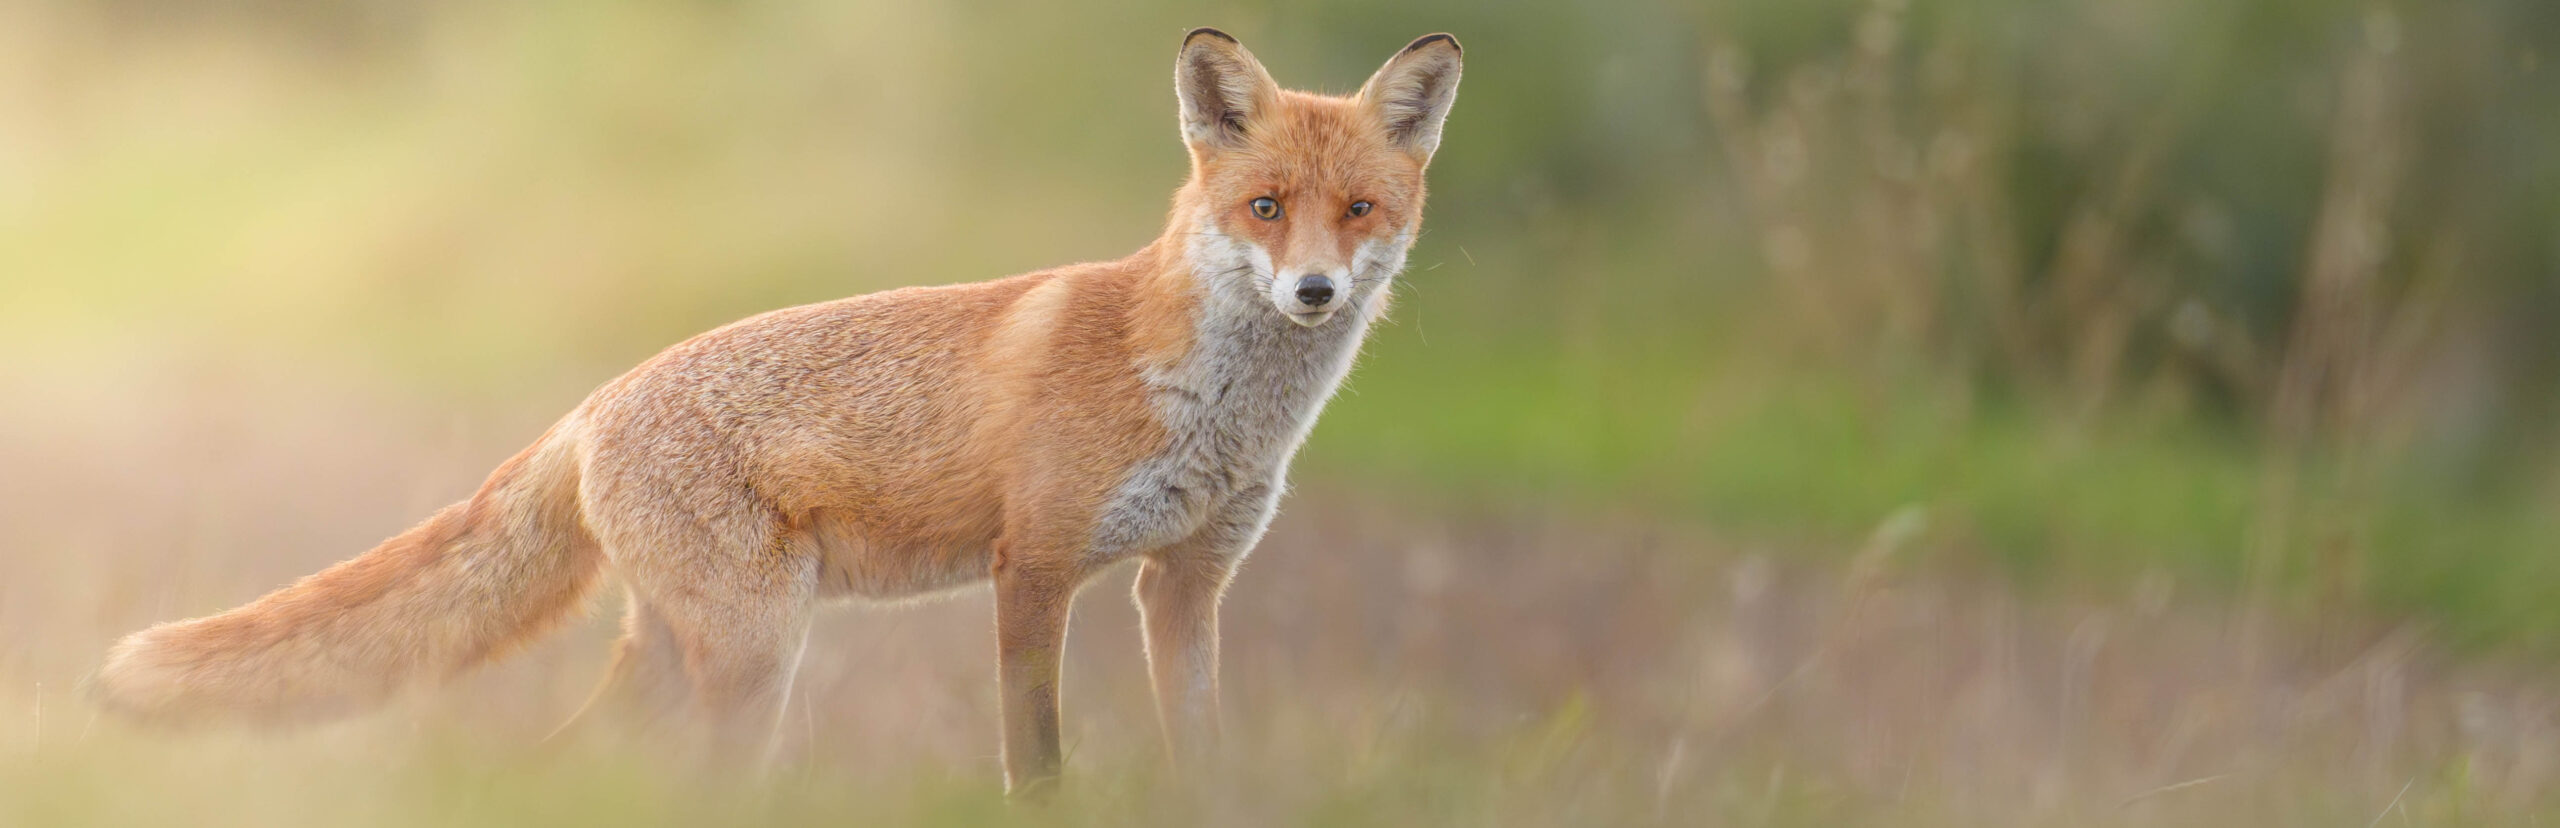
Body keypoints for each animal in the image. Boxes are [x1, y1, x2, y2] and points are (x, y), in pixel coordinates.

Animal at [90, 28, 1460, 793]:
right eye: (1265, 208)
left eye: (1359, 211)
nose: (1315, 292)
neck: (1215, 409)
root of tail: (596, 401)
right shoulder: (1035, 568)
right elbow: (1038, 768)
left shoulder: (1185, 584)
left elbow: (1203, 764)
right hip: (755, 654)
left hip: (692, 653)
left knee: (560, 774)